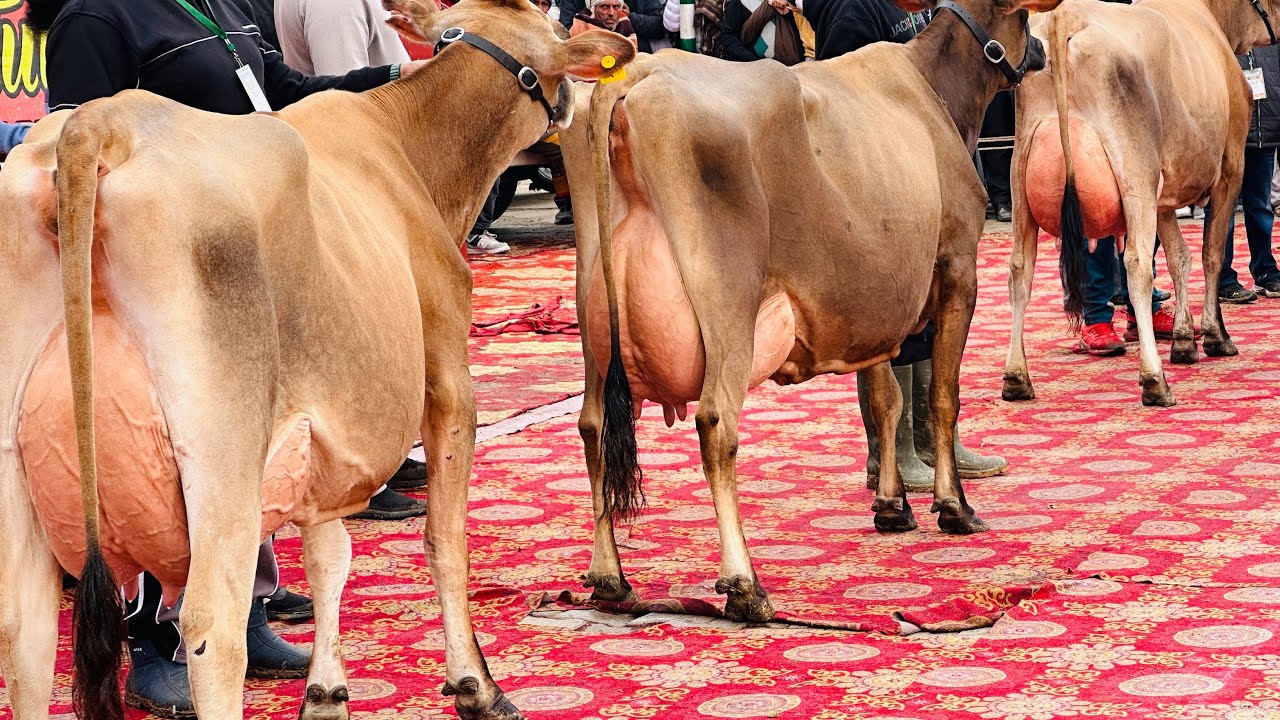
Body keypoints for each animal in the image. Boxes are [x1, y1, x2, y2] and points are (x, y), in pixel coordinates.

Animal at [0, 0, 633, 718]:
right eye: (559, 35)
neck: (407, 151)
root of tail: (100, 125)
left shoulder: (323, 432)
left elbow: (330, 552)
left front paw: (327, 690)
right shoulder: (448, 377)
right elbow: (445, 541)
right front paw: (477, 683)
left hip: (19, 457)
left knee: (25, 629)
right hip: (220, 449)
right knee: (210, 624)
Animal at [558, 0, 1059, 624]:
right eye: (1024, 21)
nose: (1041, 52)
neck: (935, 90)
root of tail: (634, 79)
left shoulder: (873, 301)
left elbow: (885, 400)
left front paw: (892, 505)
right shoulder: (956, 270)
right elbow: (944, 397)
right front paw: (954, 507)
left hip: (594, 329)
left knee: (593, 428)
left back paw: (609, 578)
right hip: (727, 307)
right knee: (715, 424)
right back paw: (745, 584)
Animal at [1002, 0, 1278, 407]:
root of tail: (1066, 16)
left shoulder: (1164, 196)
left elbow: (1179, 257)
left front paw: (1184, 340)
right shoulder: (1231, 166)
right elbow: (1210, 253)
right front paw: (1215, 335)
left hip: (1021, 177)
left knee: (1021, 269)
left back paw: (1016, 378)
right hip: (1136, 175)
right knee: (1136, 266)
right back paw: (1155, 380)